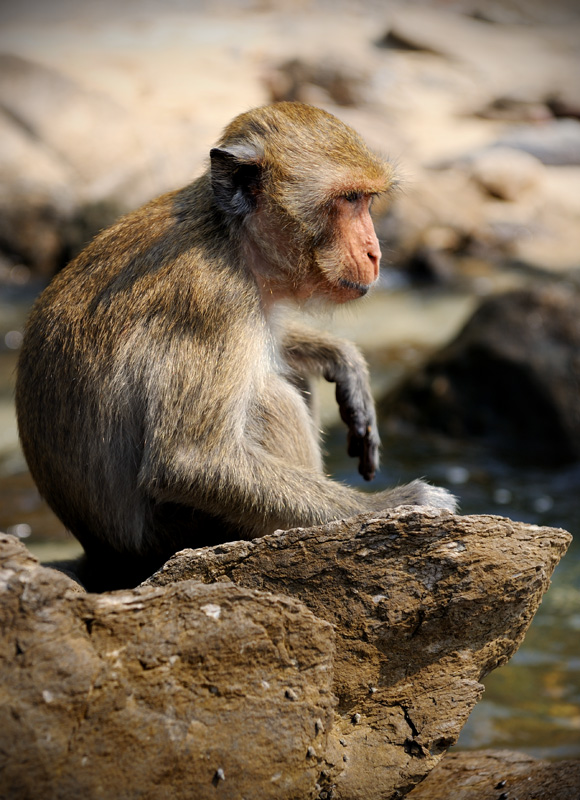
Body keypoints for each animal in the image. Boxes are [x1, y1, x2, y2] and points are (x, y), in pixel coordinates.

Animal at [14, 100, 458, 592]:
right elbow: (189, 462)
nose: (375, 253)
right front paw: (396, 504)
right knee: (271, 399)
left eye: (366, 200)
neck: (231, 236)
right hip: (180, 533)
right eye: (347, 200)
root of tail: (105, 560)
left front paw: (344, 361)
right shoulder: (213, 300)